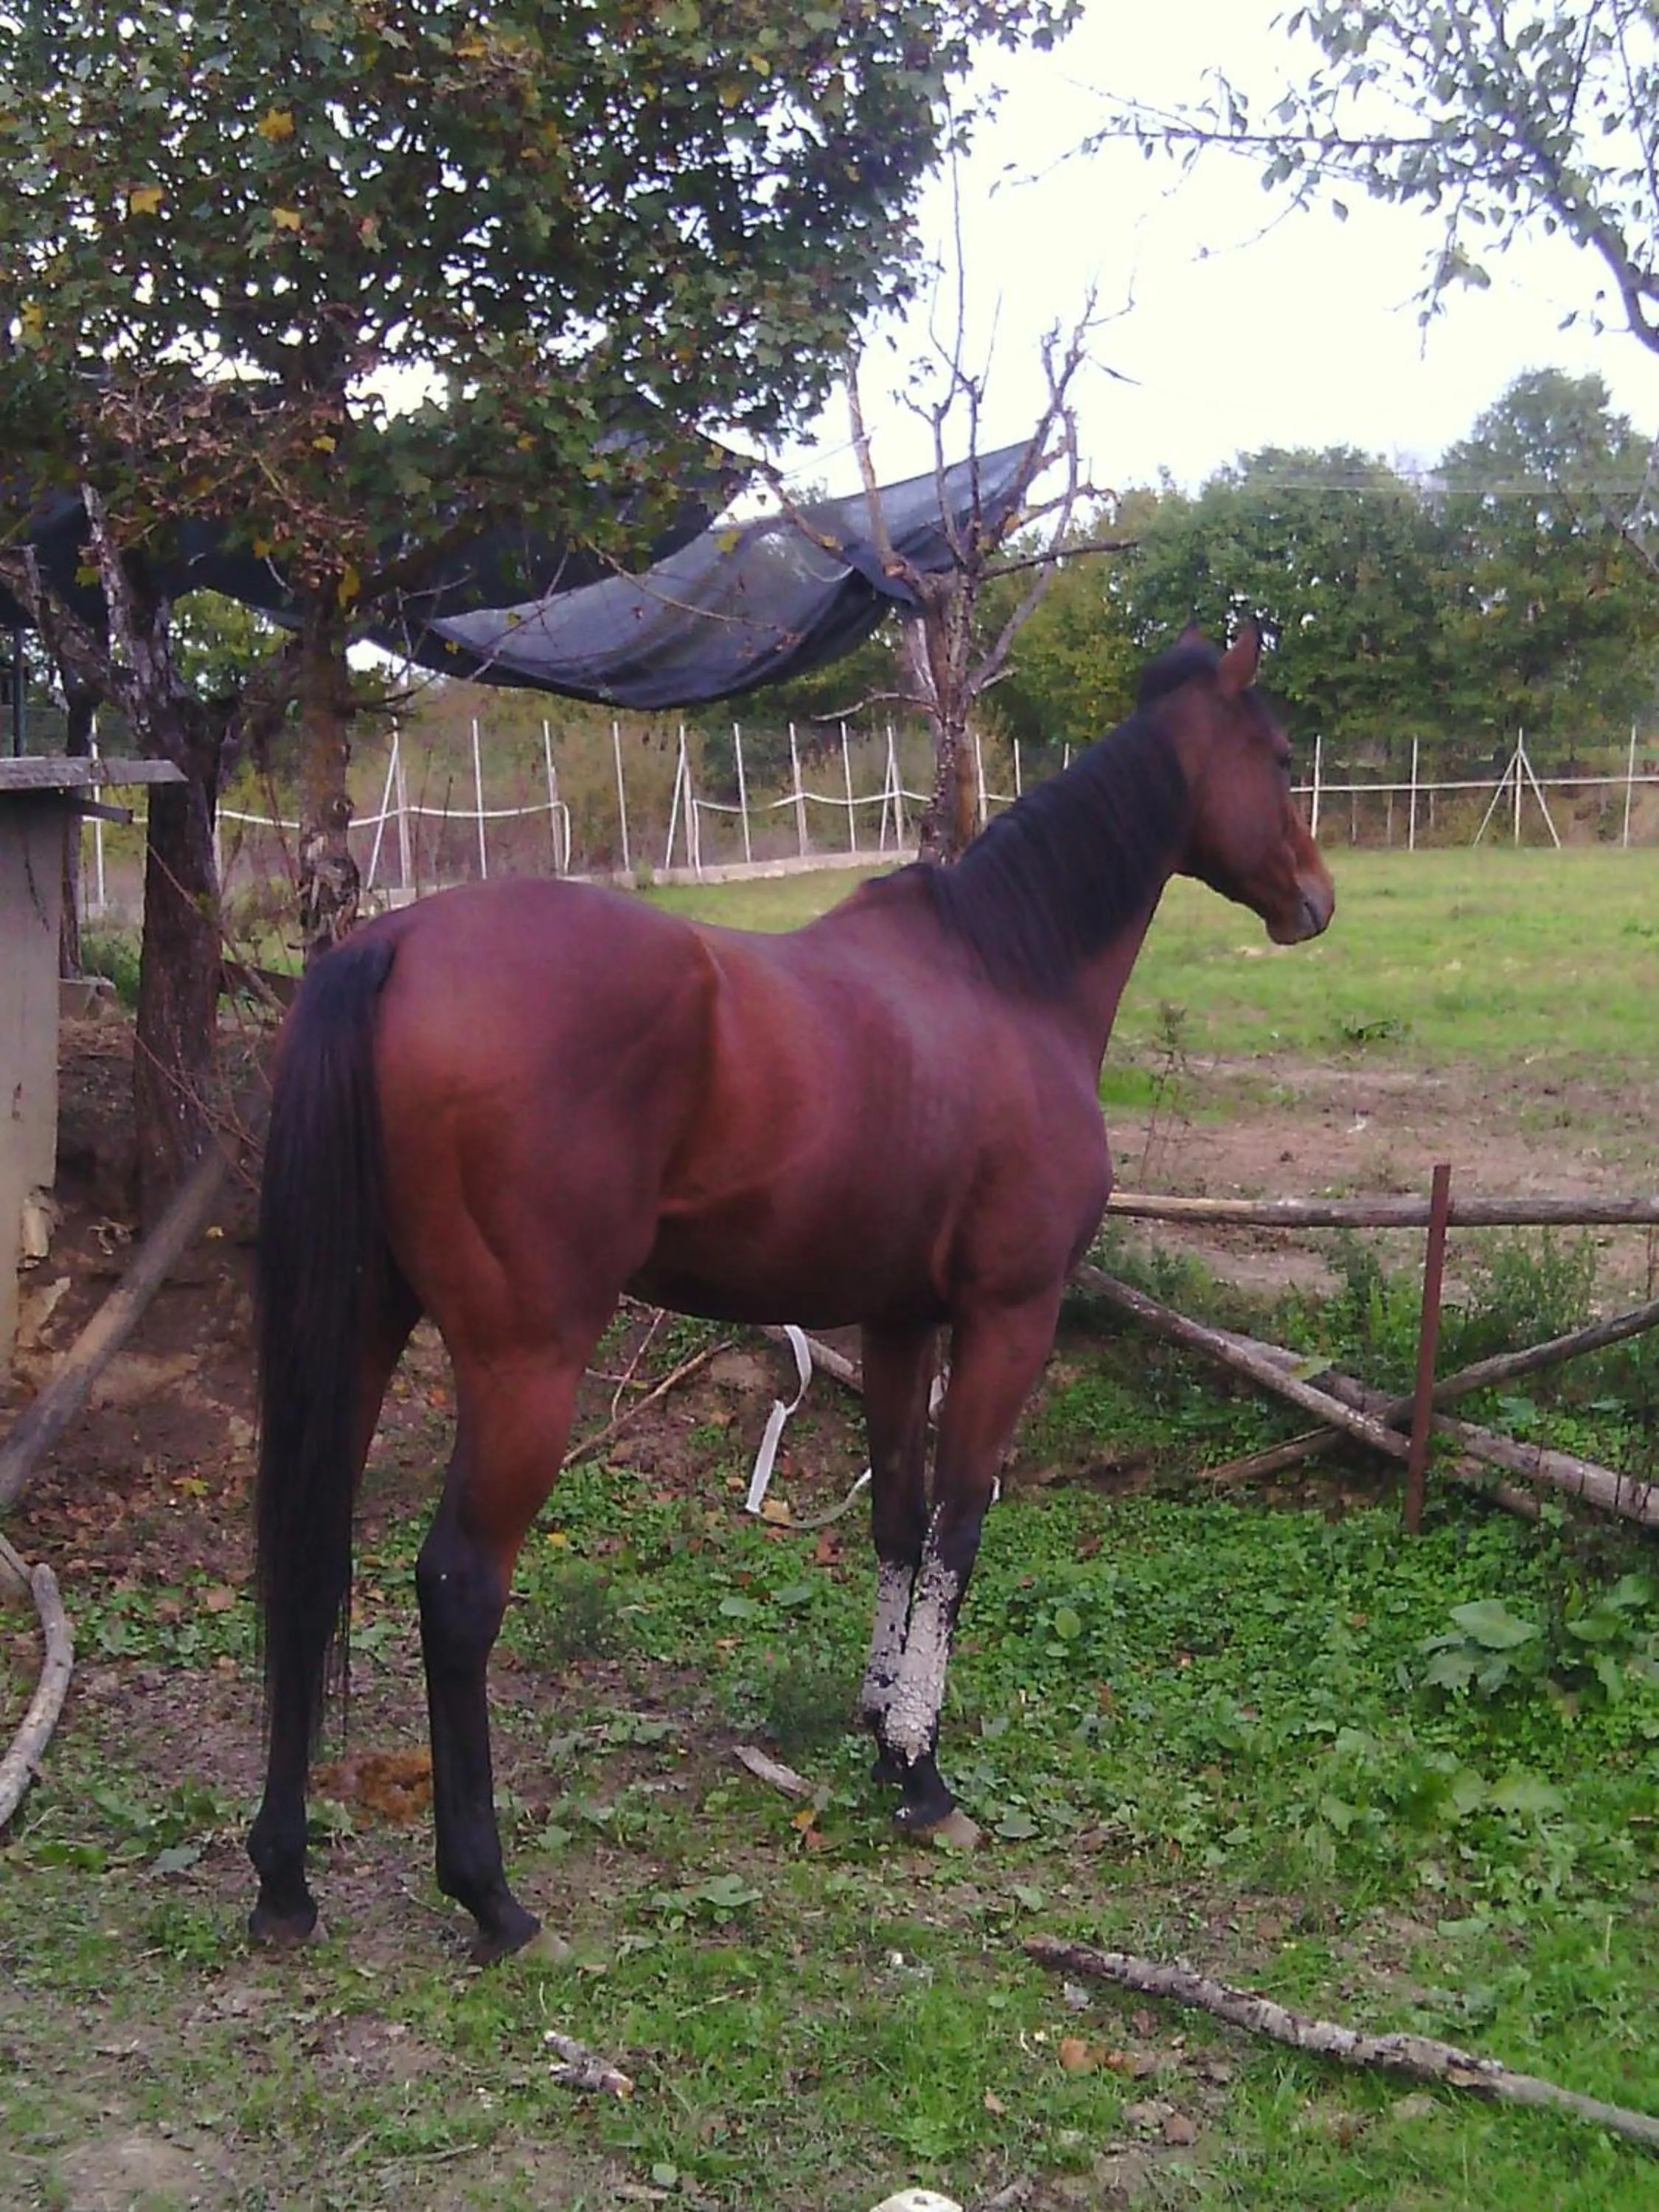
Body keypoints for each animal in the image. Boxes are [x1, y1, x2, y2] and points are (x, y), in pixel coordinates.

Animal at [248, 623, 1334, 1962]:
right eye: (1276, 755)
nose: (1316, 900)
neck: (1004, 979)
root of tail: (389, 946)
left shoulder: (900, 1318)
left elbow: (896, 1522)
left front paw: (882, 1744)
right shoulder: (1008, 1317)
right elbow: (959, 1531)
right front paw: (925, 1777)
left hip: (355, 1331)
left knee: (306, 1562)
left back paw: (283, 1880)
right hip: (523, 1365)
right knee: (455, 1589)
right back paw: (490, 1896)